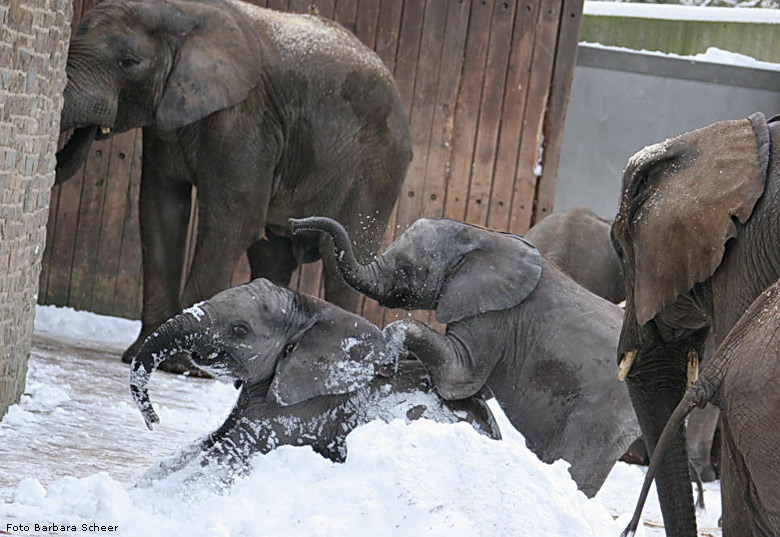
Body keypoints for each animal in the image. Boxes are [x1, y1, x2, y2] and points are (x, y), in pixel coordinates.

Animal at [129, 278, 500, 484]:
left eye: (240, 329)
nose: (154, 421)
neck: (312, 310)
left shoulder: (300, 413)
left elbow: (223, 456)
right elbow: (200, 446)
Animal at [290, 215, 644, 498]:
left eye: (406, 270)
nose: (294, 225)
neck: (480, 237)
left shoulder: (494, 315)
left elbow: (458, 382)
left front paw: (390, 356)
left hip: (603, 416)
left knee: (575, 462)